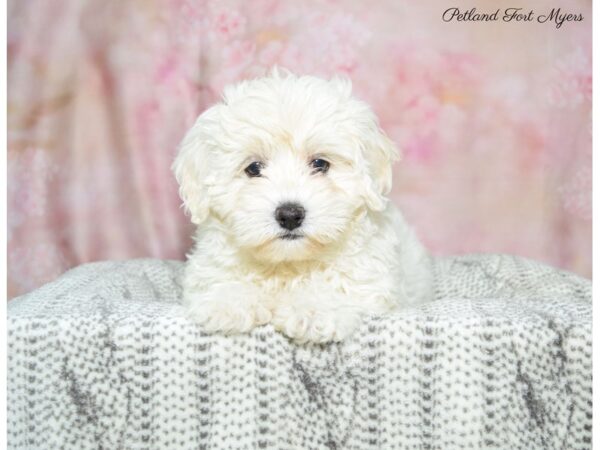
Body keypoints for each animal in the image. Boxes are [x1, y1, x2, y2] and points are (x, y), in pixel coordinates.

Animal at [172, 71, 432, 344]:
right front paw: (228, 301)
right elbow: (224, 277)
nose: (289, 215)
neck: (288, 264)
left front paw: (313, 309)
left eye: (320, 164)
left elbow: (338, 283)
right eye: (253, 168)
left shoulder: (370, 277)